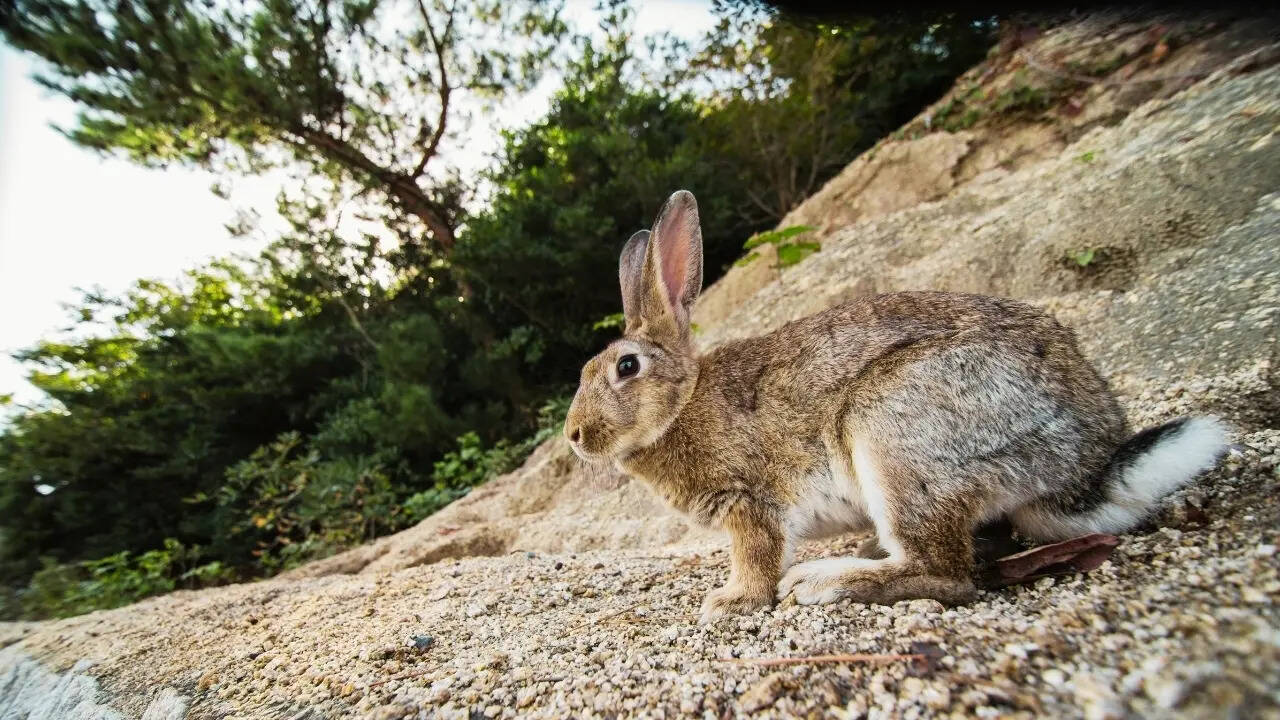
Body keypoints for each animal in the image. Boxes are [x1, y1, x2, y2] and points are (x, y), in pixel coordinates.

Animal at [564, 189, 1228, 624]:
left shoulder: (750, 501)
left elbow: (757, 556)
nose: (574, 436)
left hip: (893, 432)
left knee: (948, 575)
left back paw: (824, 583)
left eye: (627, 368)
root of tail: (1089, 461)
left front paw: (728, 603)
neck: (681, 402)